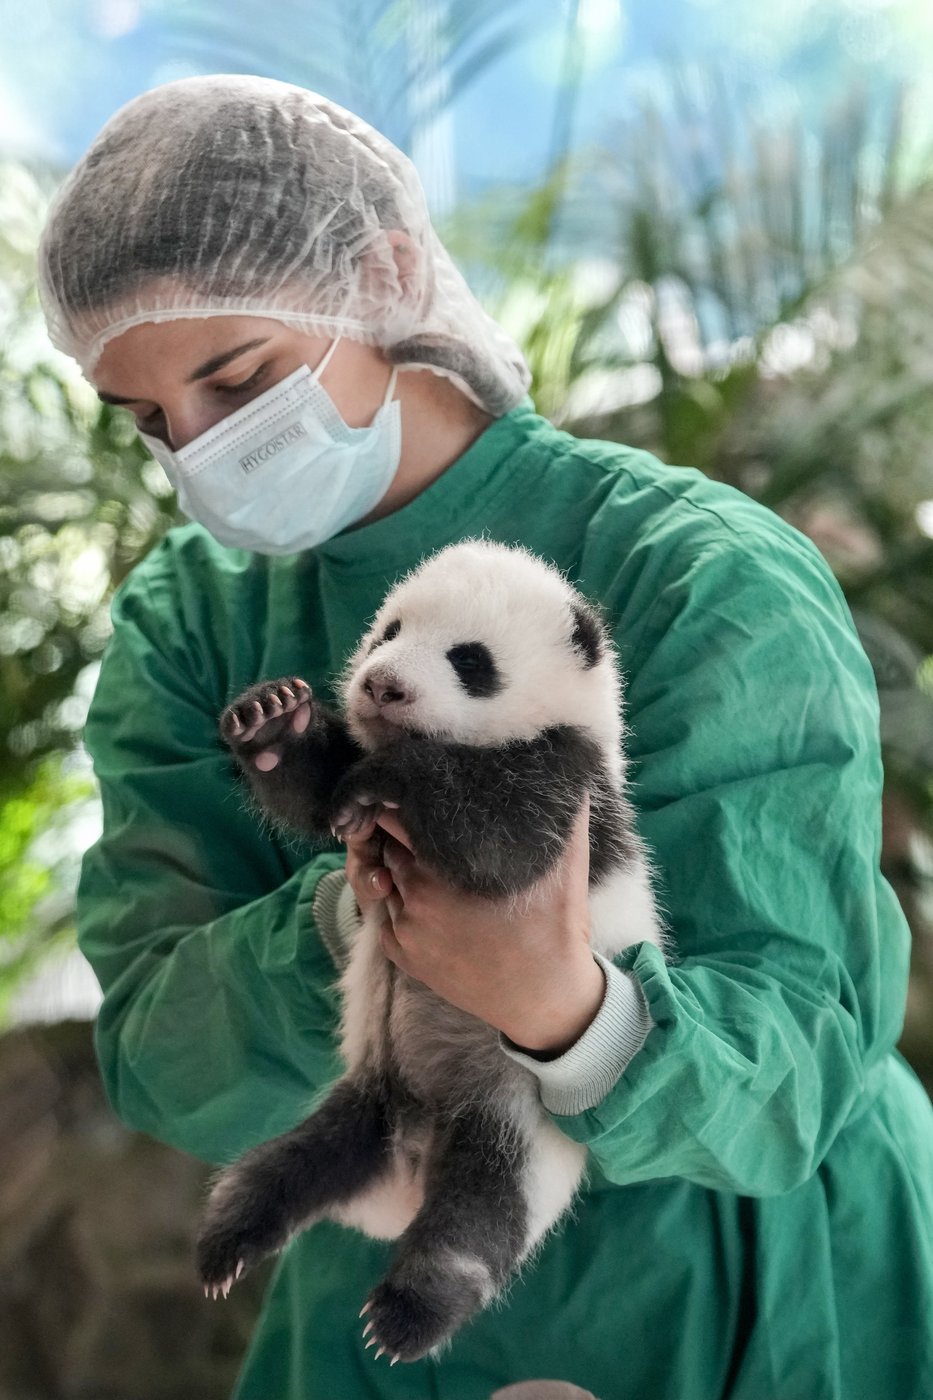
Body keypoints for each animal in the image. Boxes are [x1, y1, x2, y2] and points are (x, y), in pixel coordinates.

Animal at [196, 539, 664, 1362]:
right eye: (389, 631)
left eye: (470, 660)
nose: (383, 685)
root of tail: (409, 1164)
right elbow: (315, 796)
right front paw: (271, 722)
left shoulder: (574, 790)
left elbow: (499, 842)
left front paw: (395, 778)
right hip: (363, 1099)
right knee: (280, 1170)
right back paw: (229, 1244)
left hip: (515, 1124)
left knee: (476, 1225)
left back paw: (407, 1315)